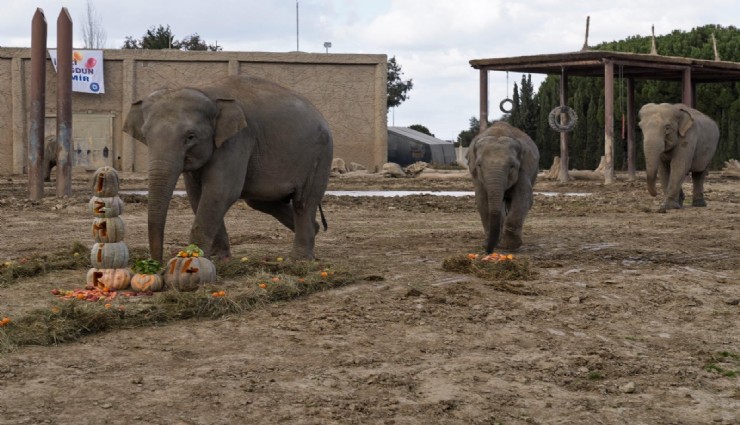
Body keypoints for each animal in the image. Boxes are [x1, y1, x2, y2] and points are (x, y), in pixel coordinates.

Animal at [123, 75, 332, 262]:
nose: (155, 265)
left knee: (303, 202)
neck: (206, 91)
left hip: (320, 155)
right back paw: (315, 230)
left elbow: (219, 192)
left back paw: (299, 260)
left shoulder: (237, 140)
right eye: (145, 135)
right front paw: (218, 258)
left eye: (191, 136)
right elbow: (197, 195)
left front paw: (193, 258)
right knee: (262, 201)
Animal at [468, 120, 536, 252]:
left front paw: (510, 246)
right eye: (479, 165)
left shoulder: (524, 168)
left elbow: (523, 196)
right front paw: (490, 243)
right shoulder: (477, 176)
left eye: (512, 166)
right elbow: (481, 199)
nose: (488, 251)